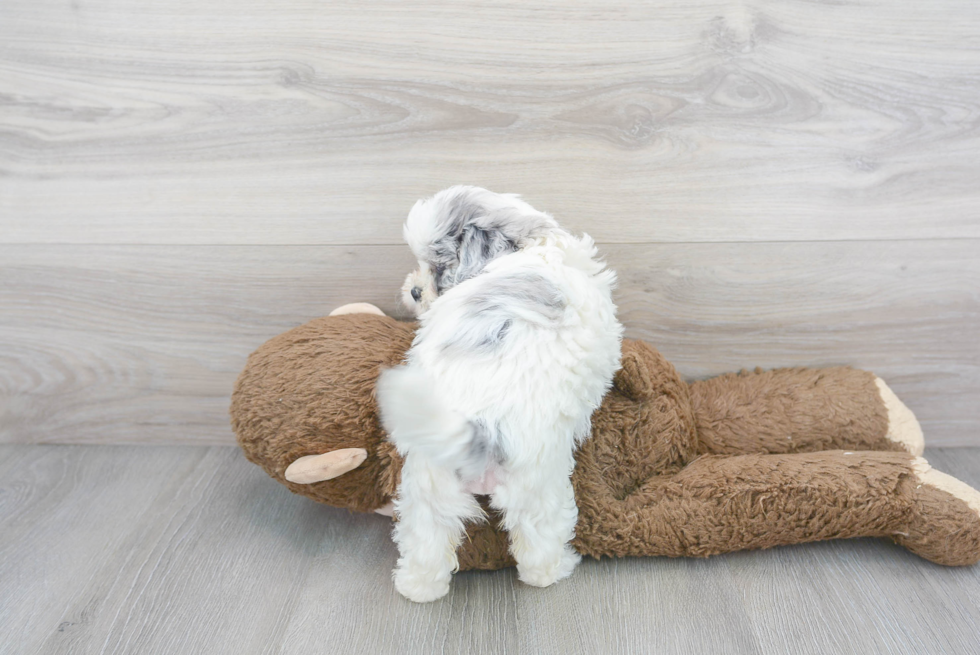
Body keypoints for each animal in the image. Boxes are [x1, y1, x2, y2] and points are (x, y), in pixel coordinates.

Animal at [376, 186, 620, 604]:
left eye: (438, 267)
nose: (414, 291)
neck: (535, 246)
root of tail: (477, 428)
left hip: (429, 483)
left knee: (427, 535)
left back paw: (418, 586)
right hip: (538, 484)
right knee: (538, 539)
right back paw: (555, 570)